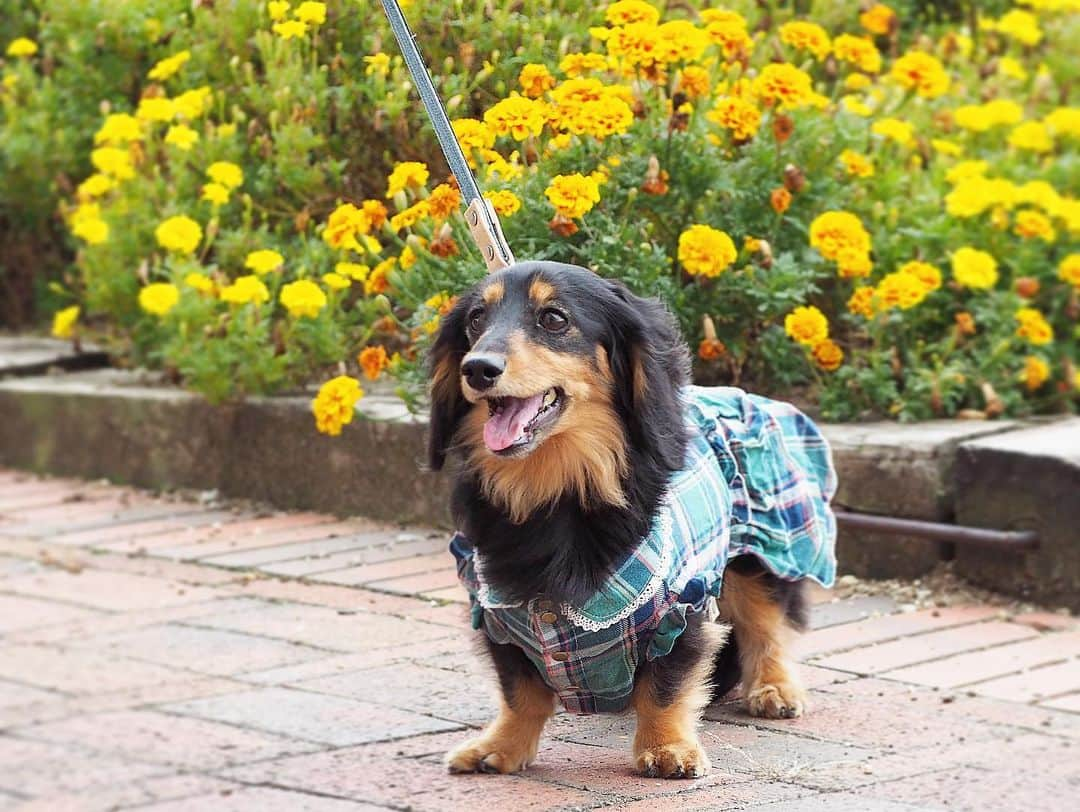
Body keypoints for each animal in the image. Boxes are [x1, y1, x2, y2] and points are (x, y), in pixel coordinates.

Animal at [425, 261, 838, 781]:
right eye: (476, 320)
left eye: (554, 318)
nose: (478, 368)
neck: (556, 493)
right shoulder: (496, 608)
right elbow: (519, 690)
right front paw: (500, 747)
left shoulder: (682, 603)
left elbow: (666, 685)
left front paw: (666, 748)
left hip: (761, 545)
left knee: (766, 623)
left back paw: (774, 688)